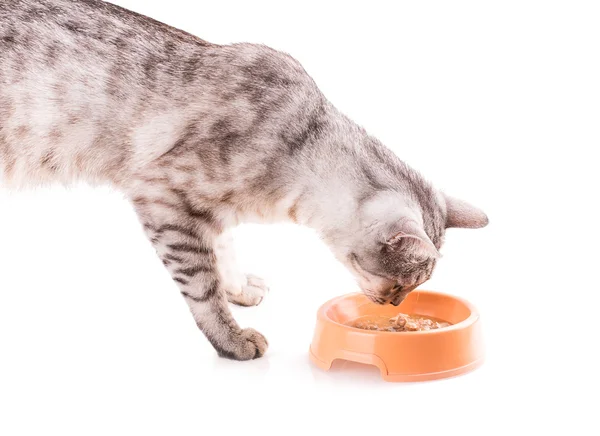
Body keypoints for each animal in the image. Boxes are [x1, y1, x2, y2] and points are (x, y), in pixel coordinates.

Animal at [1, 0, 488, 362]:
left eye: (413, 289)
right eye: (402, 284)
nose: (396, 306)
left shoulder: (209, 213)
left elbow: (225, 253)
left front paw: (238, 288)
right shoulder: (163, 196)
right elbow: (202, 284)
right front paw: (232, 339)